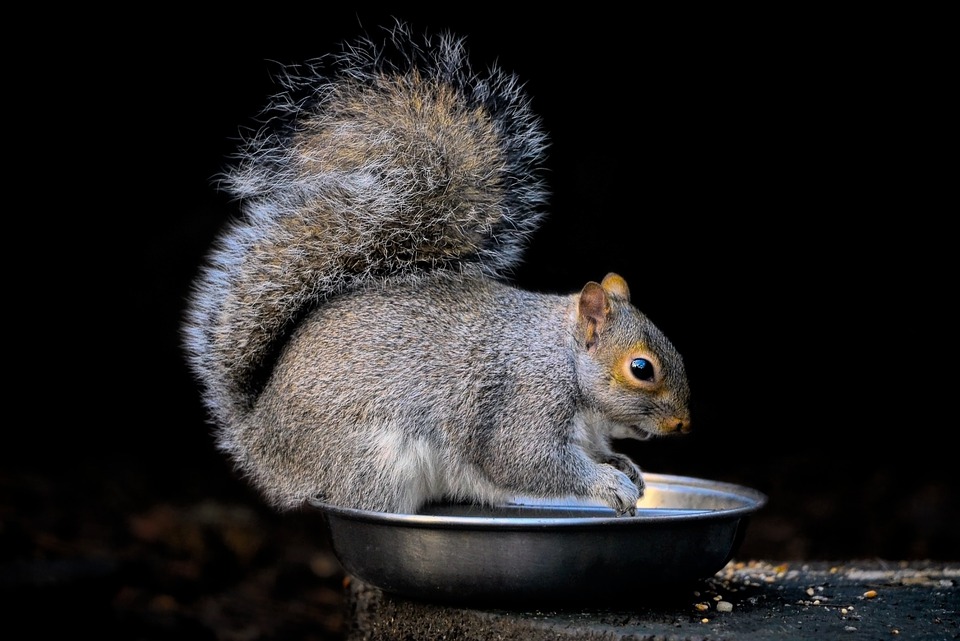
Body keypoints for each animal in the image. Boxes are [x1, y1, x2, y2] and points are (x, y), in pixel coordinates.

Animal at [183, 23, 691, 517]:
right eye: (641, 368)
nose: (683, 424)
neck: (563, 357)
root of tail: (260, 441)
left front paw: (624, 466)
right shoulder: (523, 402)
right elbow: (526, 460)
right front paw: (607, 483)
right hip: (372, 462)